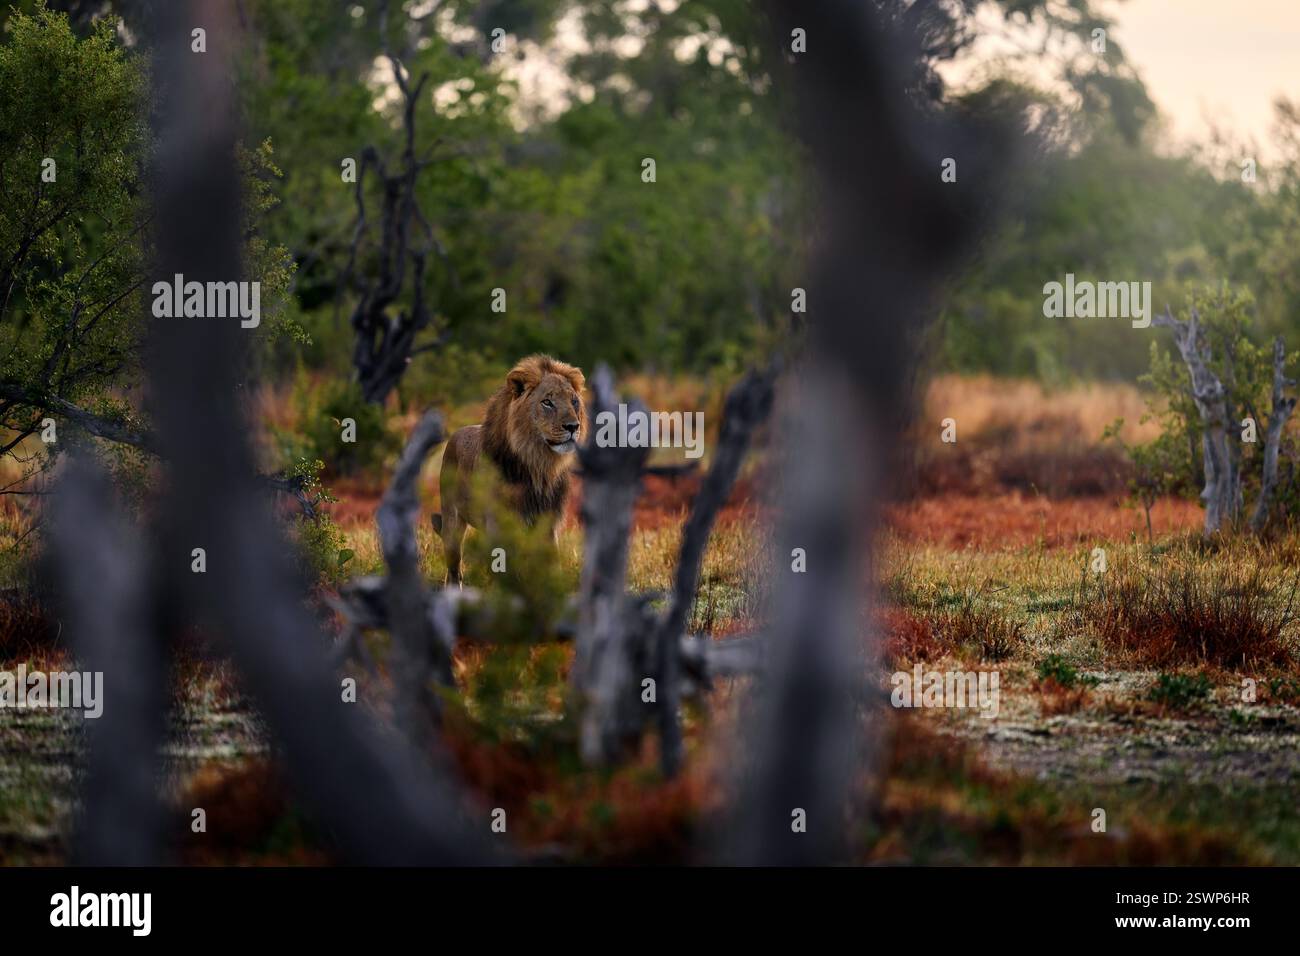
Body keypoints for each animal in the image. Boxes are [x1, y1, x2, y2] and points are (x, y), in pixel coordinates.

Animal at [431, 354, 586, 584]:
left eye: (573, 401)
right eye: (547, 402)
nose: (573, 427)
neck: (539, 467)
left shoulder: (548, 526)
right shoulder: (500, 526)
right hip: (452, 520)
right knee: (453, 569)